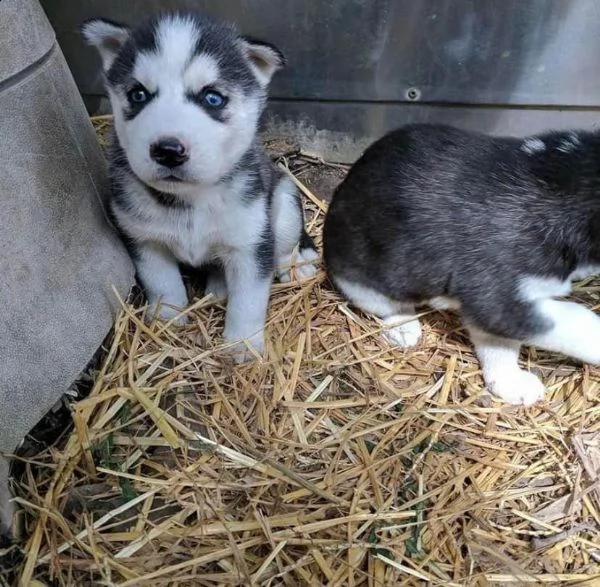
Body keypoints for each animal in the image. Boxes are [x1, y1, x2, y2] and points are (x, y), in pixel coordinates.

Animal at [85, 12, 322, 362]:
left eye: (212, 98)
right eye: (137, 95)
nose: (168, 150)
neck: (191, 201)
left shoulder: (250, 243)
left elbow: (248, 301)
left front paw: (243, 346)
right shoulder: (144, 239)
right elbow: (163, 282)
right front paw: (169, 318)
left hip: (285, 200)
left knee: (286, 242)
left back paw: (296, 265)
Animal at [326, 124, 600, 406]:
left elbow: (498, 349)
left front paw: (510, 383)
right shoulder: (498, 301)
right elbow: (581, 324)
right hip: (363, 282)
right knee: (388, 306)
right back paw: (404, 328)